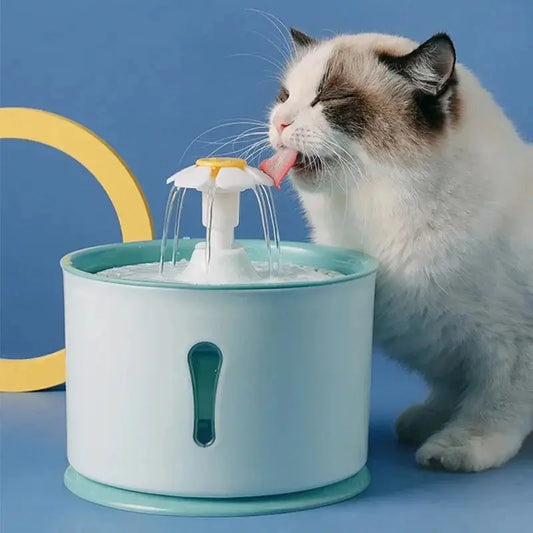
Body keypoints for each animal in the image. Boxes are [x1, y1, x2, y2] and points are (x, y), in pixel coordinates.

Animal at [260, 28, 532, 470]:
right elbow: (450, 390)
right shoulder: (443, 341)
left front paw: (456, 447)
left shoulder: (512, 347)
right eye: (284, 96)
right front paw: (429, 421)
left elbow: (492, 407)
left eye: (331, 98)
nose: (279, 121)